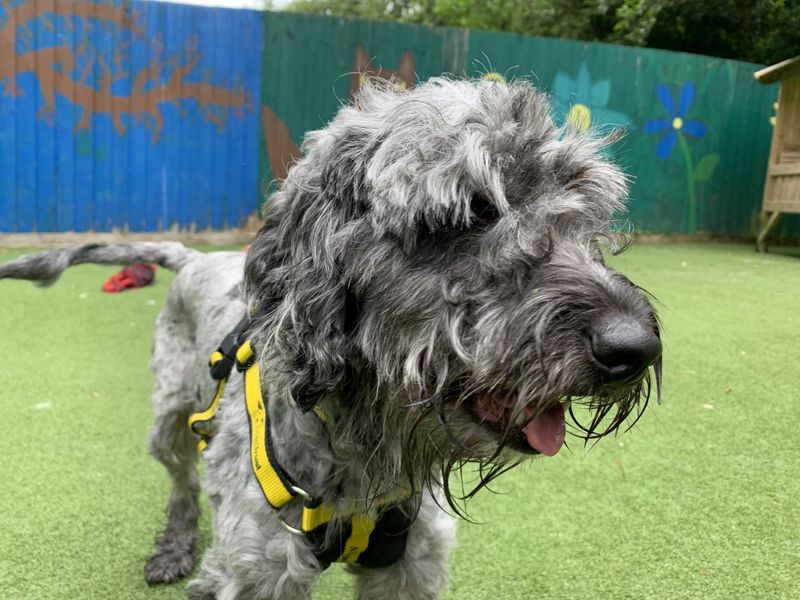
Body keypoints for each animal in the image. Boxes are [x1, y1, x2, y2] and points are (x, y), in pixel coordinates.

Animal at [0, 77, 664, 596]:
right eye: (470, 212)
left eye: (583, 220)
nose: (635, 349)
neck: (360, 454)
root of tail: (194, 256)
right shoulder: (260, 570)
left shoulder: (409, 567)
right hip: (169, 420)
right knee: (183, 482)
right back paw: (175, 547)